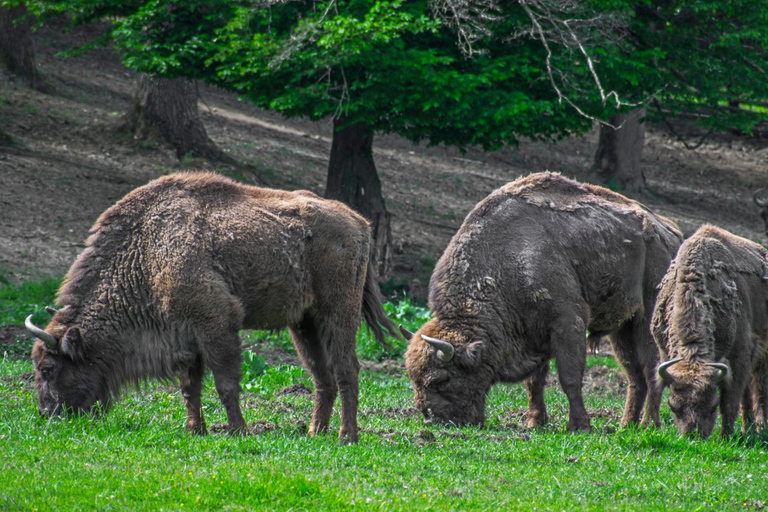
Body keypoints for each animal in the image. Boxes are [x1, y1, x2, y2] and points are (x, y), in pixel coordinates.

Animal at [26, 172, 398, 441]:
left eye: (48, 369)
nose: (47, 414)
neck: (147, 253)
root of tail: (359, 222)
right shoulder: (185, 337)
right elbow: (189, 386)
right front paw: (195, 429)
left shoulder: (217, 322)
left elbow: (225, 382)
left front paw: (239, 430)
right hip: (303, 324)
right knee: (323, 377)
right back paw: (314, 432)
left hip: (337, 314)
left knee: (347, 369)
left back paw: (347, 436)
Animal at [404, 172, 683, 432]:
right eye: (413, 379)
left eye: (440, 379)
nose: (433, 419)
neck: (504, 263)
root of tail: (669, 233)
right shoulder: (534, 333)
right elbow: (534, 382)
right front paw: (534, 422)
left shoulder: (568, 322)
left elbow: (569, 378)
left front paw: (579, 425)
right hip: (622, 328)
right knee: (634, 374)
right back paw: (626, 424)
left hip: (646, 319)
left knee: (651, 369)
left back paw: (649, 424)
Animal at [652, 224, 768, 438]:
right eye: (673, 407)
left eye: (713, 406)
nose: (693, 436)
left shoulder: (739, 357)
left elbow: (729, 402)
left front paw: (725, 437)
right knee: (748, 394)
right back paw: (748, 428)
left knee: (760, 389)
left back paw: (760, 427)